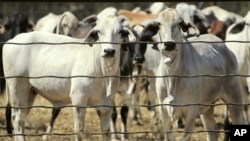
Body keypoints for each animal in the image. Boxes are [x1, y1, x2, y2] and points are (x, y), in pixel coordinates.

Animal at [3, 15, 136, 141]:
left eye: (120, 31)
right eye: (99, 31)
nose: (109, 51)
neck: (104, 74)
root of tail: (12, 40)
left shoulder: (106, 106)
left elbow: (106, 132)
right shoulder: (78, 101)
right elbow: (79, 131)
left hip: (30, 92)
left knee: (18, 119)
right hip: (17, 88)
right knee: (18, 120)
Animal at [133, 8, 248, 141]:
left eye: (180, 23)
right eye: (159, 24)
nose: (169, 44)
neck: (172, 75)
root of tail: (225, 47)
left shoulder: (191, 110)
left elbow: (185, 137)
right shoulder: (163, 109)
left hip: (235, 98)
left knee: (240, 119)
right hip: (208, 107)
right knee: (212, 132)